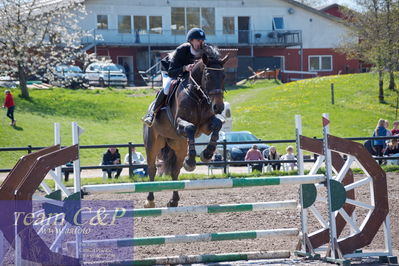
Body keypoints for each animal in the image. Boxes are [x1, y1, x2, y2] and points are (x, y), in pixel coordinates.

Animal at [145, 45, 230, 208]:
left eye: (224, 76)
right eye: (208, 76)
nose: (218, 107)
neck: (198, 95)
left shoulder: (205, 125)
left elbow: (216, 125)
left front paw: (207, 154)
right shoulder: (180, 124)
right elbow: (190, 128)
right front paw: (191, 162)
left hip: (179, 146)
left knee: (175, 171)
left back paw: (173, 200)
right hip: (153, 145)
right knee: (152, 169)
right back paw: (150, 200)